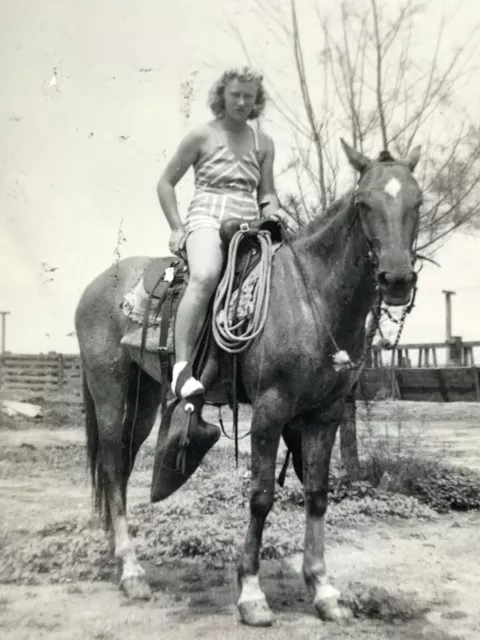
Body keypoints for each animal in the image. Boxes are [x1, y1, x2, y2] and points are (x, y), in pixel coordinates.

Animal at [73, 140, 422, 624]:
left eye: (417, 202)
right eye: (363, 203)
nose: (397, 279)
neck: (312, 296)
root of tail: (96, 285)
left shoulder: (325, 415)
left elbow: (317, 494)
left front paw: (323, 589)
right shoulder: (270, 410)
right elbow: (260, 495)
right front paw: (251, 594)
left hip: (142, 401)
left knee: (120, 470)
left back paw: (120, 557)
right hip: (110, 394)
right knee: (110, 468)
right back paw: (131, 571)